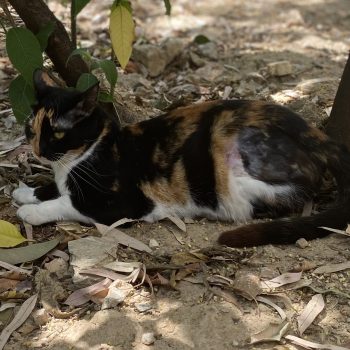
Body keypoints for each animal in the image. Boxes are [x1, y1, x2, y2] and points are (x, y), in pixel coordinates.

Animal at [12, 69, 350, 247]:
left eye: (57, 133)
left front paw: (31, 211)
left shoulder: (123, 204)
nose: (38, 151)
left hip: (230, 158)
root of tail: (316, 134)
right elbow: (55, 189)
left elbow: (68, 203)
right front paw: (27, 192)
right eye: (31, 128)